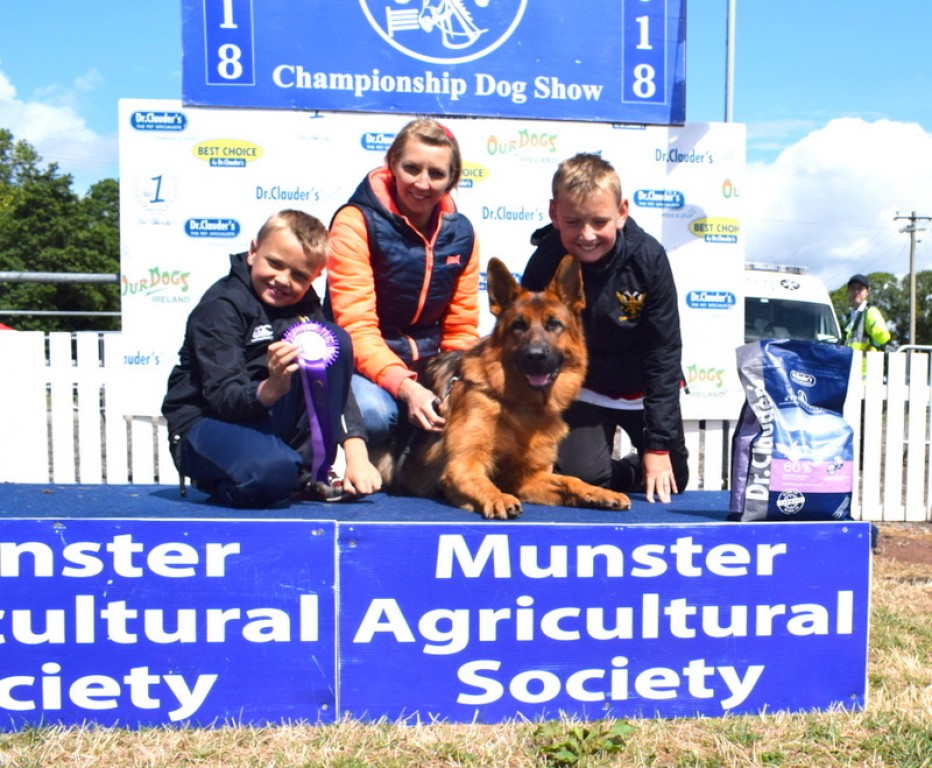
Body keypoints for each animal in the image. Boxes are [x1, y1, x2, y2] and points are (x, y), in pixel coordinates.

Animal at [378, 255, 631, 519]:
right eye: (518, 325)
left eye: (554, 324)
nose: (536, 356)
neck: (520, 405)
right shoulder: (463, 466)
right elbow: (484, 483)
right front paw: (498, 497)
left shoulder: (524, 476)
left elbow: (570, 480)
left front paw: (599, 493)